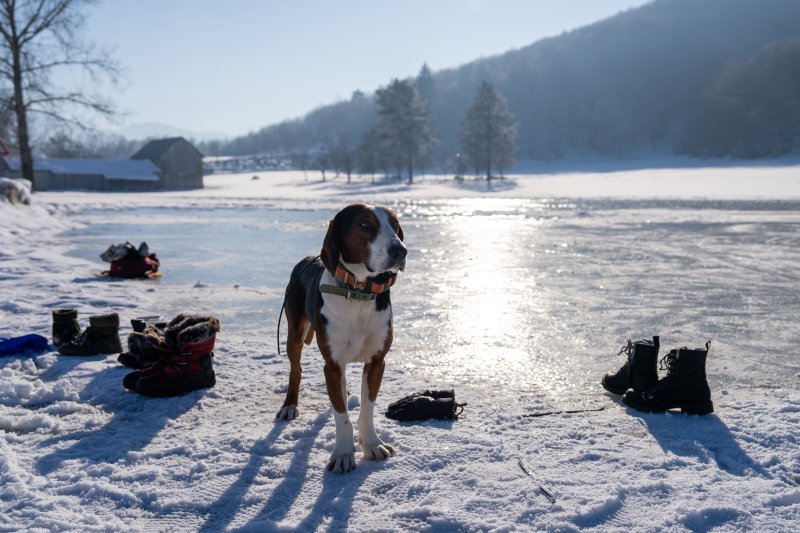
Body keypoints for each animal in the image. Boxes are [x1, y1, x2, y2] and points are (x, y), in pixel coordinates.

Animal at [276, 202, 406, 472]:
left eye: (395, 224)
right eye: (365, 224)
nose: (401, 251)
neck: (357, 294)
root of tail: (307, 259)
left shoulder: (376, 361)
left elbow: (367, 408)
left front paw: (372, 445)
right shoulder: (333, 365)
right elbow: (341, 416)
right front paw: (344, 454)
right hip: (294, 331)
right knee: (295, 369)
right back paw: (289, 405)